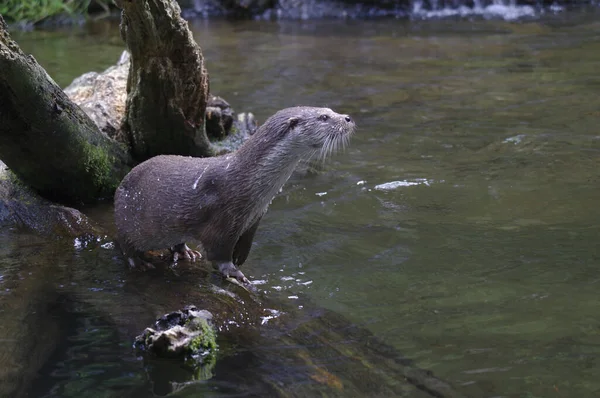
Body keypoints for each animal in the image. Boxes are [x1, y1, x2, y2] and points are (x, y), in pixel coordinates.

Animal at [115, 107, 354, 284]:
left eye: (330, 110)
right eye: (324, 117)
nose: (348, 118)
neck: (247, 182)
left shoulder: (255, 217)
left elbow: (246, 241)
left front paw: (240, 257)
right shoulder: (223, 216)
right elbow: (218, 252)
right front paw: (232, 271)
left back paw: (185, 253)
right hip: (126, 219)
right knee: (125, 246)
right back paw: (139, 263)